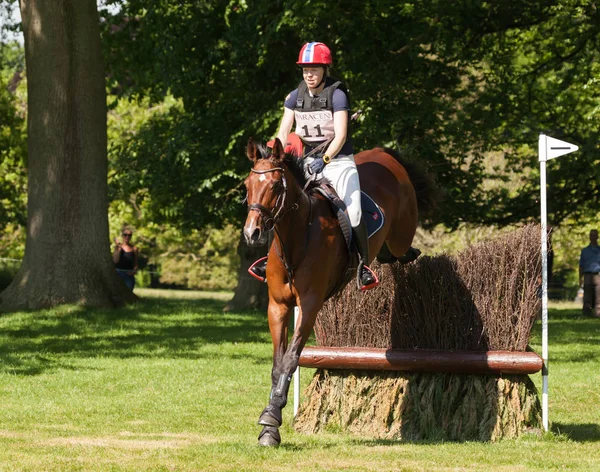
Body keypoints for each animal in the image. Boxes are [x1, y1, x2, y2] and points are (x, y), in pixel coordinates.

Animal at [243, 136, 436, 446]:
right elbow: (277, 363)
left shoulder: (309, 305)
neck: (296, 237)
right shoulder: (278, 306)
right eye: (247, 185)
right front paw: (270, 423)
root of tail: (383, 154)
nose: (252, 233)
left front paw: (271, 419)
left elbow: (290, 360)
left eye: (275, 186)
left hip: (401, 234)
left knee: (401, 251)